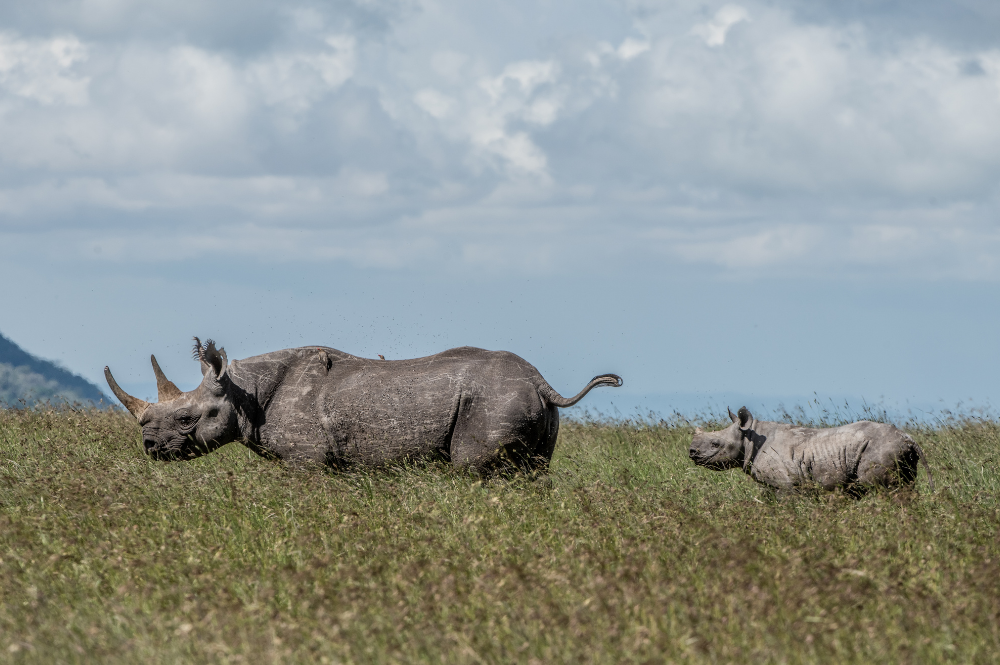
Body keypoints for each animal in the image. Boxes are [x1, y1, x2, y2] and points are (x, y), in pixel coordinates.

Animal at [101, 340, 616, 474]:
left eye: (187, 418)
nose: (150, 448)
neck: (244, 390)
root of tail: (542, 382)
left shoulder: (305, 460)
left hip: (491, 402)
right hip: (526, 405)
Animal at [688, 404, 928, 492]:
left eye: (715, 444)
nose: (691, 452)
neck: (750, 437)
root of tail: (908, 439)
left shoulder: (782, 484)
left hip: (880, 449)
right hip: (898, 452)